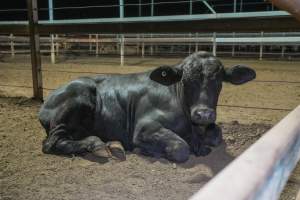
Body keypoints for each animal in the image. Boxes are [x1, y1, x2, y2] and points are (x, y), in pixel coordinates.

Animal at [39, 51, 255, 162]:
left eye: (219, 81)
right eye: (186, 80)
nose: (203, 114)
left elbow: (217, 135)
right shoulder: (145, 127)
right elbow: (180, 148)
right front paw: (147, 150)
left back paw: (112, 144)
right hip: (76, 101)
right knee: (52, 143)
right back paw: (98, 145)